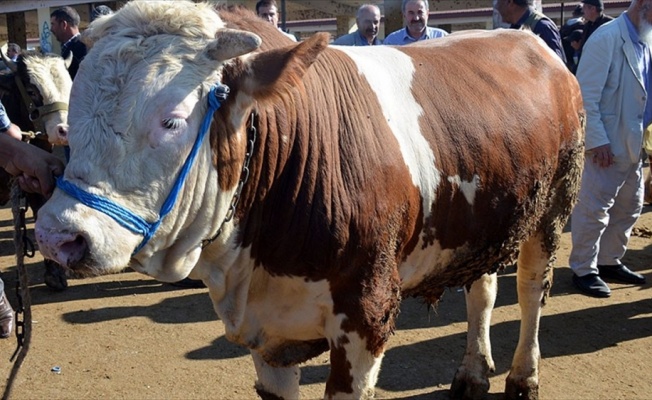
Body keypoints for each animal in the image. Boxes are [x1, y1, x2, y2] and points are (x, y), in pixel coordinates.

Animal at [34, 1, 584, 398]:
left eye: (171, 120)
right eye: (72, 113)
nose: (58, 236)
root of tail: (527, 40)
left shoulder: (366, 315)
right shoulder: (265, 333)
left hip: (554, 205)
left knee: (530, 288)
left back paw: (523, 377)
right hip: (484, 218)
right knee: (482, 289)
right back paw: (472, 372)